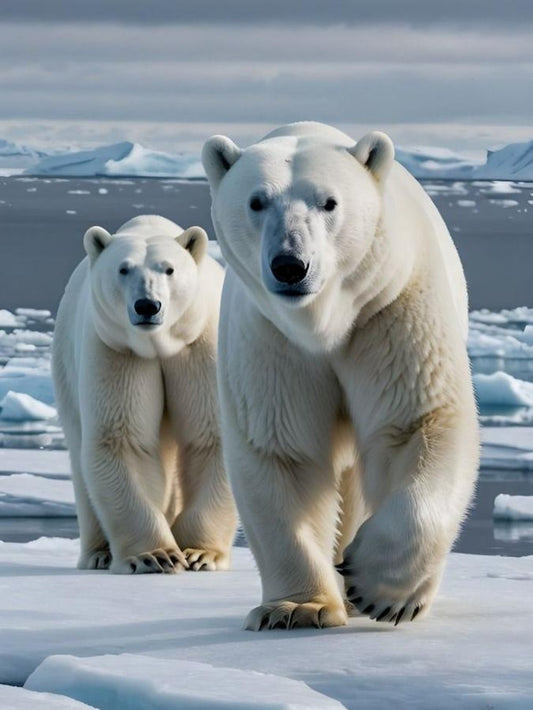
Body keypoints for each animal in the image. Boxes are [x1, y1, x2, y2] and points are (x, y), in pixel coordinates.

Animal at [52, 214, 237, 574]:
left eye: (169, 269)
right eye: (123, 269)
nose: (147, 305)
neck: (159, 344)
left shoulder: (199, 346)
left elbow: (212, 437)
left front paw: (198, 553)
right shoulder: (119, 350)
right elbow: (124, 440)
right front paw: (156, 555)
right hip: (67, 367)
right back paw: (99, 554)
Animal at [202, 122, 479, 628]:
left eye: (329, 202)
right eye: (256, 201)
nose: (290, 265)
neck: (325, 323)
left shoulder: (389, 310)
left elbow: (417, 423)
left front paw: (382, 591)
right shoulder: (273, 339)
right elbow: (284, 450)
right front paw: (297, 607)